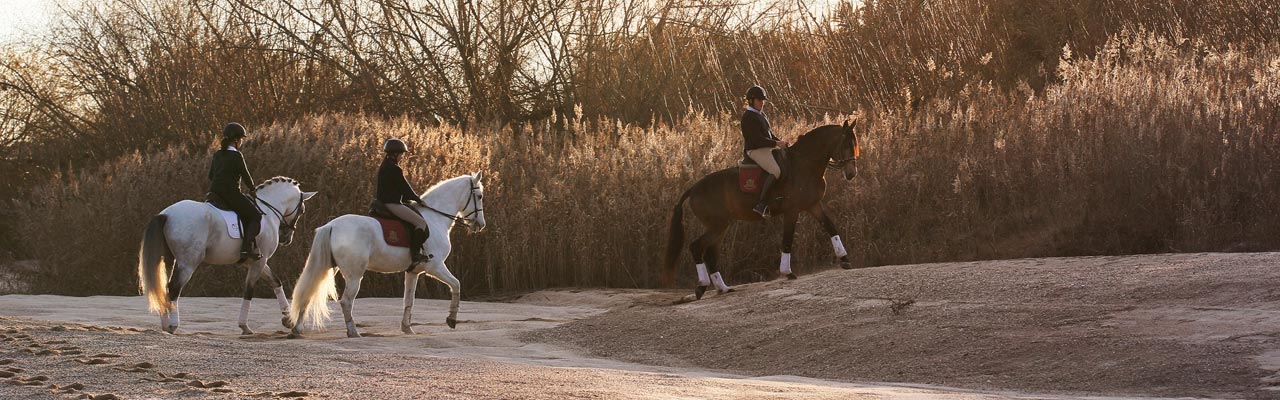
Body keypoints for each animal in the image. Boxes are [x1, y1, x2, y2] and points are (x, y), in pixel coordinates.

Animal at [136, 178, 320, 333]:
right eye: (302, 210)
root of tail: (166, 214)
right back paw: (173, 325)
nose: (286, 238)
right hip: (187, 263)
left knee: (163, 288)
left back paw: (165, 325)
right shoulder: (259, 261)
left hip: (168, 259)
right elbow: (249, 290)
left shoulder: (255, 260)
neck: (268, 211)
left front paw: (287, 319)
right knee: (174, 288)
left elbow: (275, 281)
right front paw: (245, 326)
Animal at [289, 171, 483, 338]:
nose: (480, 225)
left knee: (309, 292)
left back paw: (297, 330)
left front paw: (407, 328)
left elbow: (409, 300)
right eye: (480, 196)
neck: (435, 219)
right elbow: (456, 285)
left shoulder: (413, 272)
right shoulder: (435, 267)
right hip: (354, 275)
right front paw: (451, 320)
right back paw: (353, 332)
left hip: (329, 267)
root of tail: (331, 225)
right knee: (346, 301)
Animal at [660, 120, 860, 298]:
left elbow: (831, 227)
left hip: (721, 226)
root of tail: (693, 189)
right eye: (845, 144)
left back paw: (723, 288)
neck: (805, 164)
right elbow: (787, 240)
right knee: (696, 247)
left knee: (709, 253)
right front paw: (787, 272)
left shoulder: (813, 205)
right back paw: (702, 286)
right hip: (717, 225)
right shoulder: (792, 210)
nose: (851, 174)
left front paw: (845, 260)